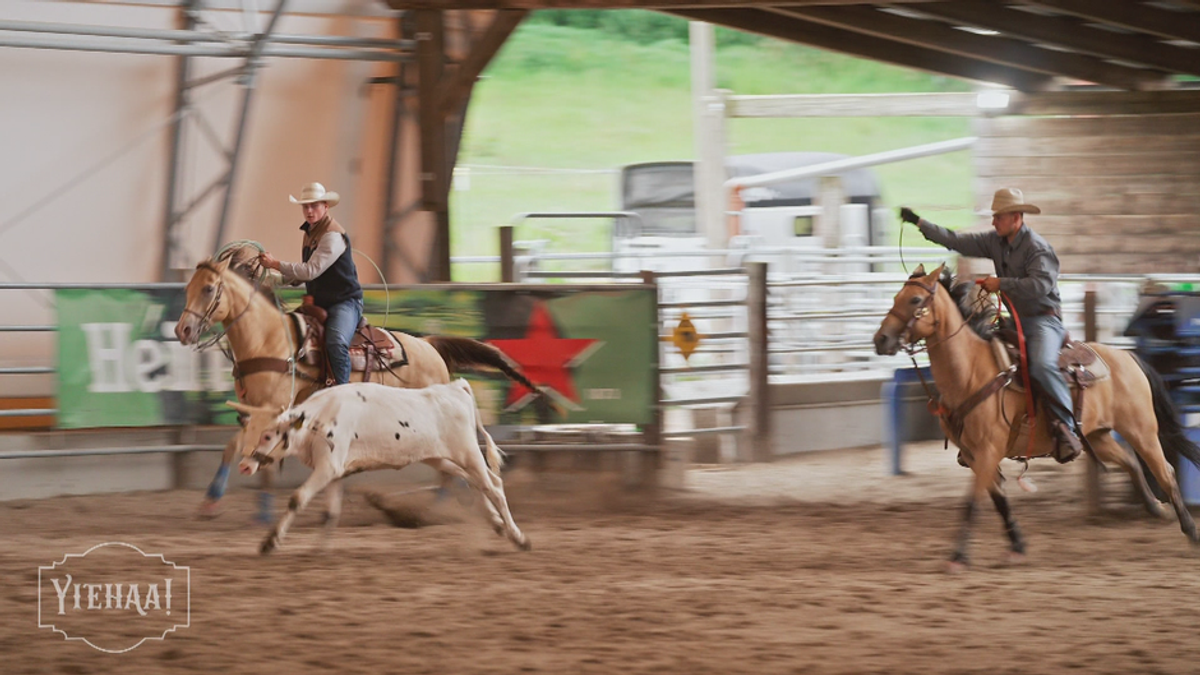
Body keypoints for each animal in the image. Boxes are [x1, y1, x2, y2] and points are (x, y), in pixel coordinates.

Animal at [172, 249, 540, 516]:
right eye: (187, 289)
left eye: (208, 288)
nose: (182, 331)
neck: (270, 340)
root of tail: (430, 345)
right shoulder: (253, 410)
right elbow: (232, 446)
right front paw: (211, 500)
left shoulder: (274, 409)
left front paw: (262, 512)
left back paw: (440, 506)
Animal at [238, 379, 530, 552]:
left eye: (268, 435)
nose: (244, 466)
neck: (320, 417)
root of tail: (455, 387)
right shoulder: (335, 472)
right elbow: (330, 512)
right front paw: (320, 547)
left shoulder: (327, 468)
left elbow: (297, 498)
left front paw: (270, 541)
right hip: (440, 458)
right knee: (475, 481)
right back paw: (498, 524)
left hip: (468, 452)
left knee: (494, 485)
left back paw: (519, 537)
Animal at [873, 263, 1200, 566]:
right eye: (896, 296)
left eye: (915, 300)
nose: (881, 339)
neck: (971, 372)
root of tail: (1127, 356)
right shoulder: (974, 454)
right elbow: (999, 500)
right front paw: (1017, 545)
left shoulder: (989, 449)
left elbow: (972, 502)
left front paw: (958, 555)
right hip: (1098, 435)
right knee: (1131, 461)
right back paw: (1157, 509)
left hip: (1141, 430)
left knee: (1166, 471)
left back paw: (1190, 530)